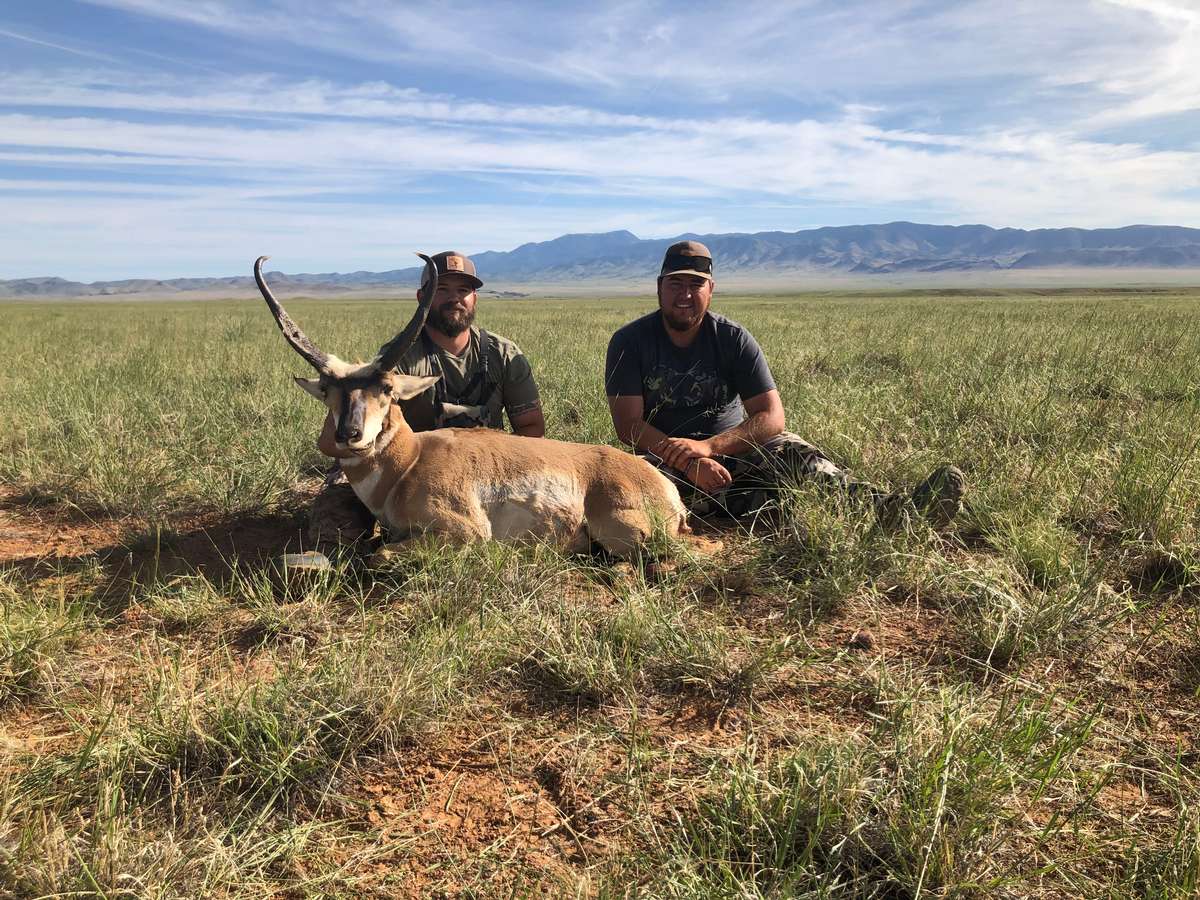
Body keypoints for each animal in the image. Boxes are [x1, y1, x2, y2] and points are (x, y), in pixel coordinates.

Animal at [255, 254, 686, 561]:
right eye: (327, 389)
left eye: (387, 388)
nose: (349, 434)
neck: (409, 462)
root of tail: (661, 482)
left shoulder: (462, 532)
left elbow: (379, 554)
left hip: (625, 532)